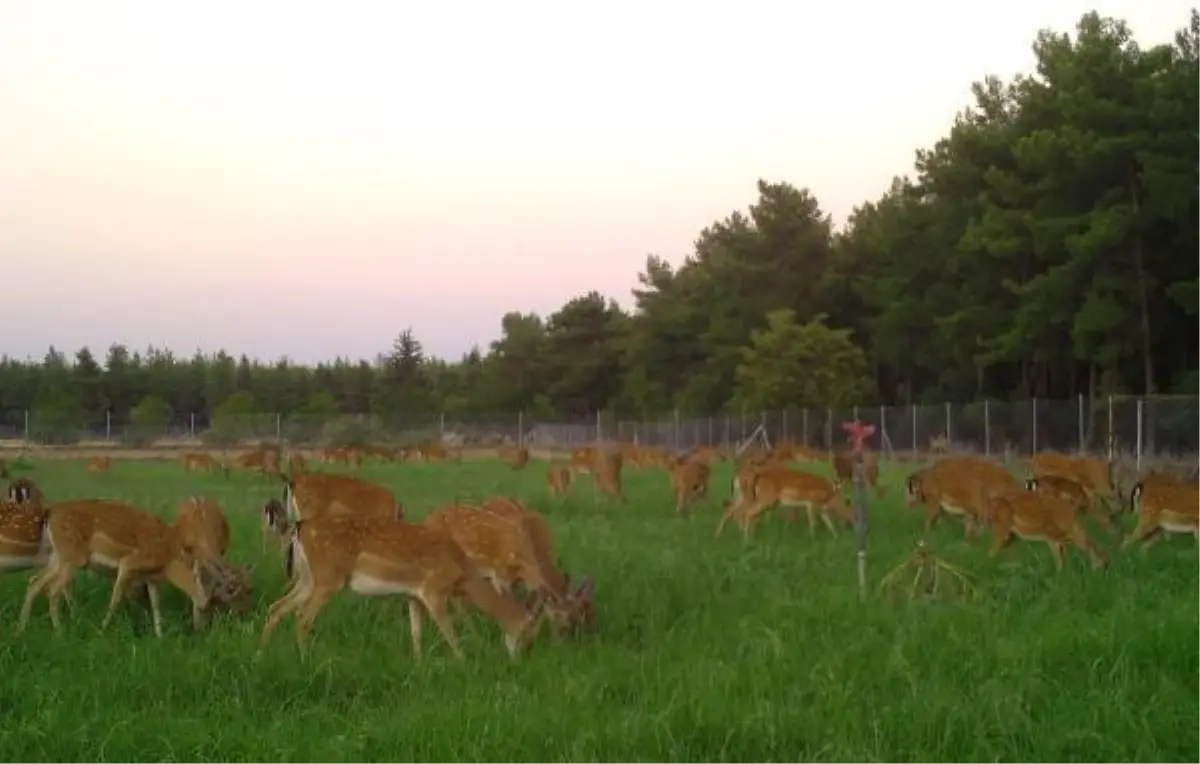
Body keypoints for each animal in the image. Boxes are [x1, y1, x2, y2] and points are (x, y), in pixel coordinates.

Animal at [17, 501, 218, 638]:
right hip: (71, 557)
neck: (167, 562)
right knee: (52, 591)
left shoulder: (151, 579)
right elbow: (116, 598)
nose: (200, 630)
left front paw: (160, 635)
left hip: (57, 556)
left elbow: (155, 605)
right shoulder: (128, 563)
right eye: (205, 607)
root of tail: (50, 512)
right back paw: (58, 631)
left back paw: (22, 627)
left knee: (34, 582)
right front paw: (102, 629)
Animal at [262, 515, 549, 657]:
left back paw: (260, 654)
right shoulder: (434, 590)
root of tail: (299, 528)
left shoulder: (413, 595)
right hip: (328, 578)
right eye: (529, 635)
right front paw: (464, 664)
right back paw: (305, 660)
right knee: (302, 617)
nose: (521, 660)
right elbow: (449, 632)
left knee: (276, 607)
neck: (461, 572)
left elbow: (416, 634)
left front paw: (419, 667)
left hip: (308, 578)